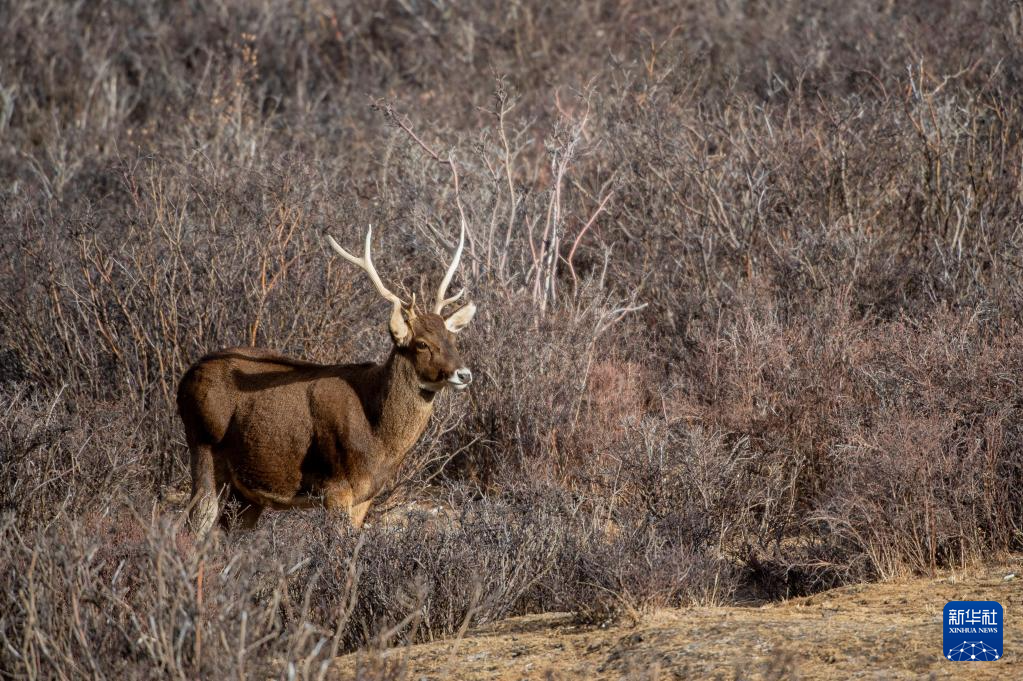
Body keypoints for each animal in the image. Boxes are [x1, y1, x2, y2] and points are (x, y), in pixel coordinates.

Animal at [177, 222, 476, 536]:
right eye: (421, 344)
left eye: (452, 338)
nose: (464, 374)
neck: (376, 437)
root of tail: (185, 379)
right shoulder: (336, 486)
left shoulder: (364, 497)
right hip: (203, 445)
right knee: (194, 526)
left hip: (246, 490)